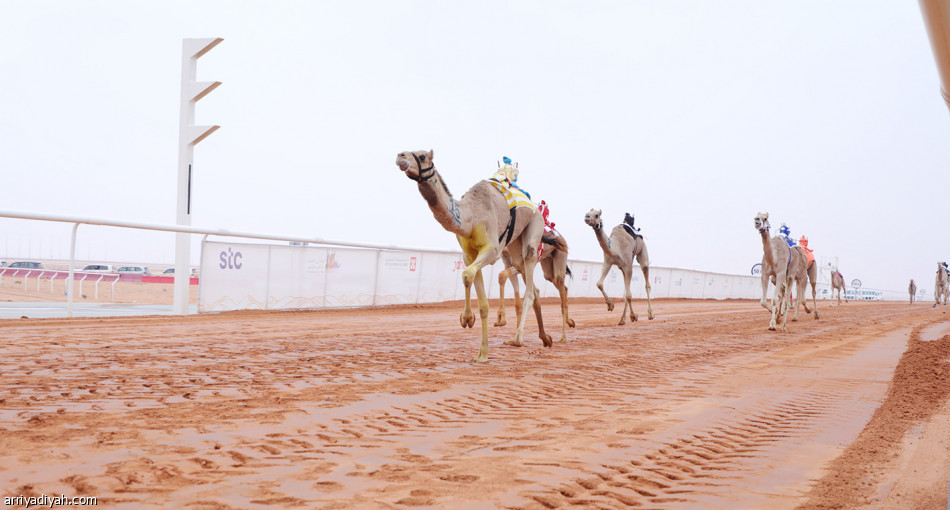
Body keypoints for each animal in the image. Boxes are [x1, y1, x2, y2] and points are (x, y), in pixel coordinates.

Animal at [396, 148, 556, 362]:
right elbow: (480, 299)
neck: (470, 216)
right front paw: (481, 352)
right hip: (515, 250)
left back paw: (518, 338)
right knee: (535, 289)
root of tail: (537, 208)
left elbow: (466, 274)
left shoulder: (491, 251)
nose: (400, 156)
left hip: (533, 235)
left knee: (529, 290)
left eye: (421, 156)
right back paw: (545, 338)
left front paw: (466, 319)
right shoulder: (470, 255)